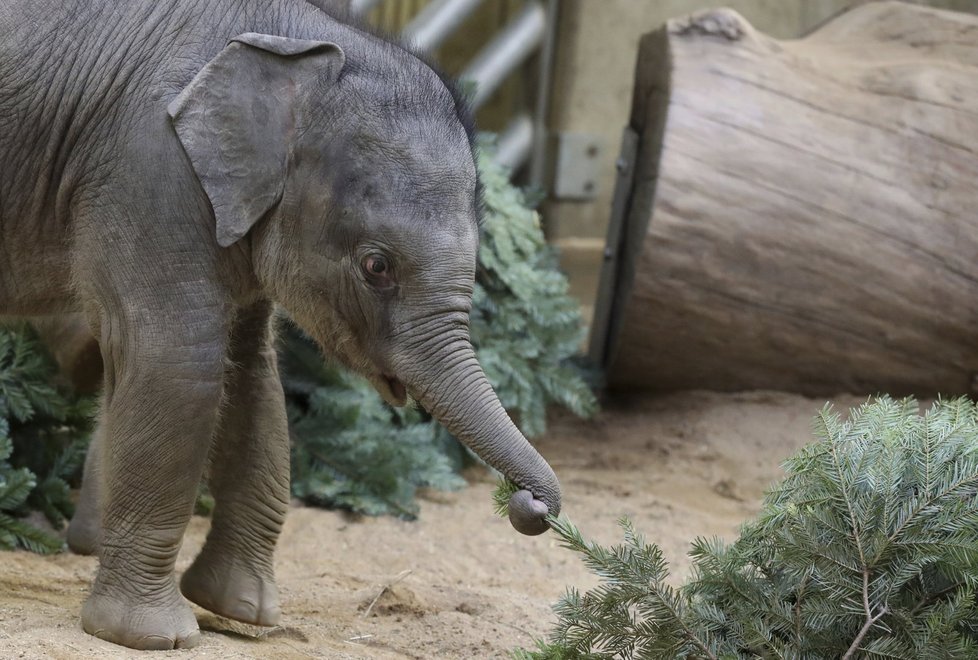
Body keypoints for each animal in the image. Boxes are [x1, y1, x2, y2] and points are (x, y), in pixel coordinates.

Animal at [0, 0, 556, 648]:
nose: (530, 505)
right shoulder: (149, 170)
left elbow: (253, 379)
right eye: (376, 266)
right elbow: (180, 364)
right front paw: (152, 637)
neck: (297, 43)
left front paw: (242, 611)